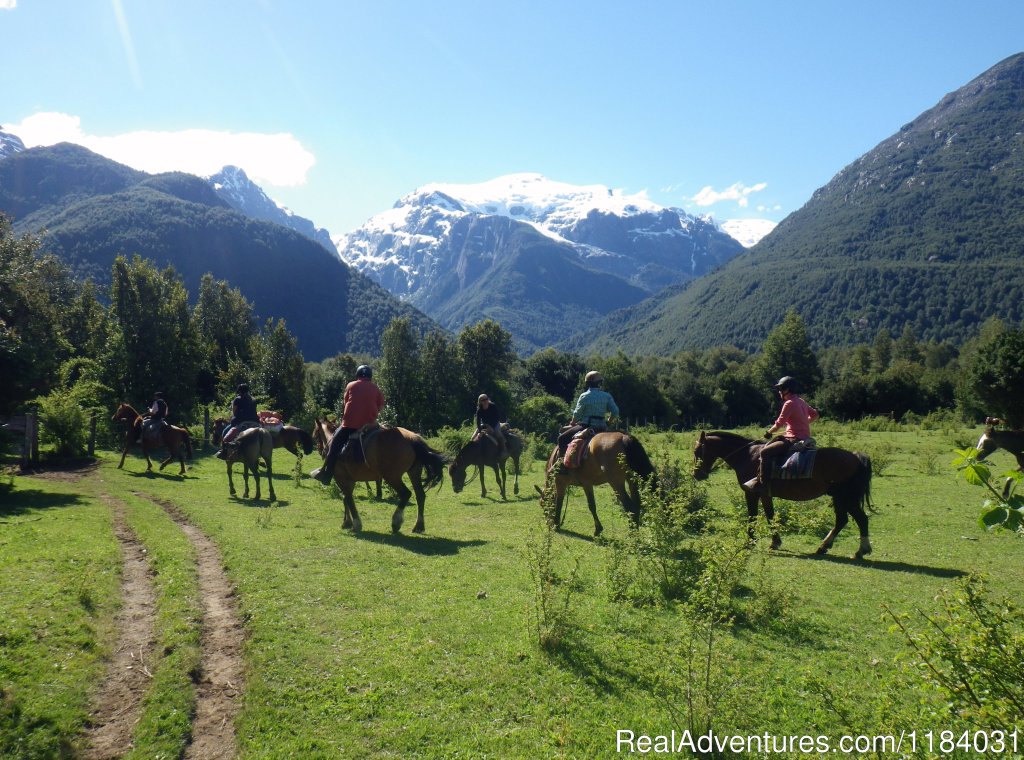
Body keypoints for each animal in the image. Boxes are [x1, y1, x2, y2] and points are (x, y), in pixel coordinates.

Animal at [307, 415, 444, 536]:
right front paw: (347, 522)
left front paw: (355, 523)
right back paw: (419, 526)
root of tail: (411, 439)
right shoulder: (350, 480)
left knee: (406, 494)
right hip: (414, 472)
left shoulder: (341, 478)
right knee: (420, 495)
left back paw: (396, 522)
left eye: (315, 435)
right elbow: (346, 498)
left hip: (392, 477)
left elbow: (348, 498)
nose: (321, 451)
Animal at [688, 432, 872, 561]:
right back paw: (823, 547)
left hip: (846, 497)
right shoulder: (765, 495)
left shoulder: (751, 493)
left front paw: (750, 541)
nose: (697, 475)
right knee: (842, 520)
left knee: (861, 519)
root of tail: (856, 457)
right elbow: (770, 516)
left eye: (697, 451)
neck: (748, 455)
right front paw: (775, 542)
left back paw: (861, 550)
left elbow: (752, 516)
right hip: (839, 498)